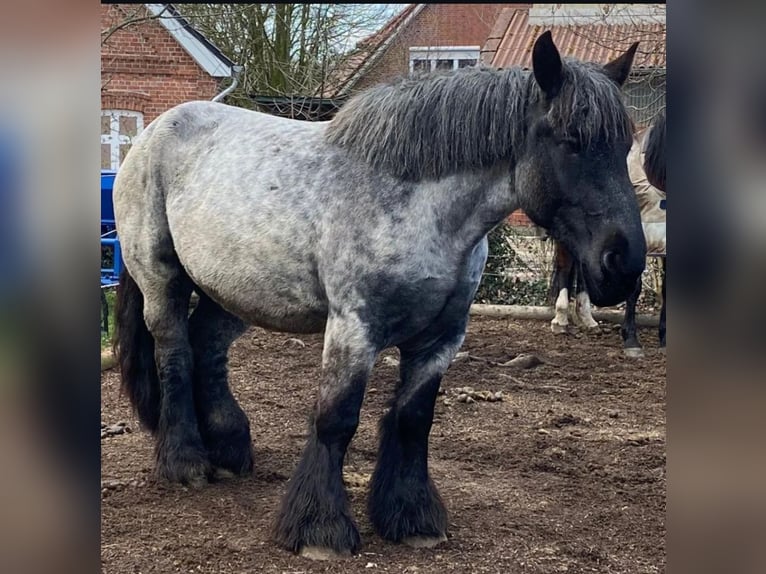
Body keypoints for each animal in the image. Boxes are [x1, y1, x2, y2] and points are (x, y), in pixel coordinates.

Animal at [111, 32, 644, 564]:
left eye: (625, 145)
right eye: (572, 142)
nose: (624, 263)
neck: (418, 204)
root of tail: (151, 134)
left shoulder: (442, 338)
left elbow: (413, 419)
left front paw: (412, 518)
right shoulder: (354, 328)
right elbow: (336, 419)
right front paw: (319, 530)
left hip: (234, 289)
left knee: (208, 348)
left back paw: (228, 449)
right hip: (161, 277)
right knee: (175, 353)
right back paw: (186, 463)